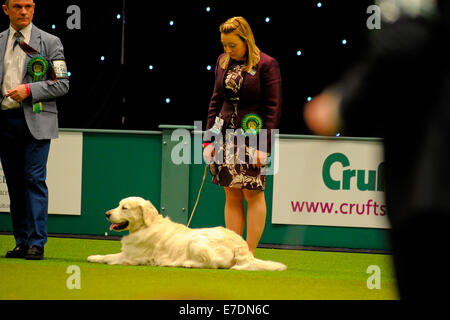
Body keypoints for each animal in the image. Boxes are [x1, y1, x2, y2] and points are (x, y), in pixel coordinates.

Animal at [86, 196, 286, 272]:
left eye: (124, 208)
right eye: (118, 205)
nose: (107, 213)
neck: (145, 226)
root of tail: (241, 245)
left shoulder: (130, 257)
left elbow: (109, 256)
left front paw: (93, 257)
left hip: (196, 240)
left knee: (212, 264)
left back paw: (188, 263)